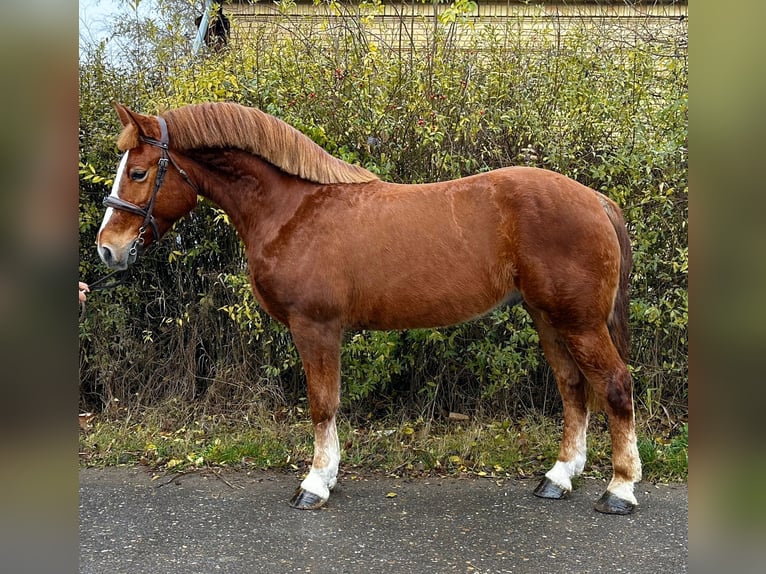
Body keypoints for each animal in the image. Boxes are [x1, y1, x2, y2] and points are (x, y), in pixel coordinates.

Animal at [96, 101, 641, 514]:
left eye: (139, 172)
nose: (108, 250)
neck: (292, 210)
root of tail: (595, 199)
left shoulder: (315, 327)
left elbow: (322, 403)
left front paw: (315, 484)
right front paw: (329, 475)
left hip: (579, 322)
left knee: (615, 384)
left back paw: (620, 489)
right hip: (549, 318)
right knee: (573, 388)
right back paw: (559, 477)